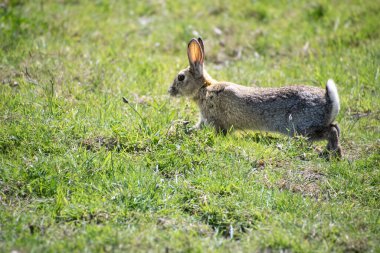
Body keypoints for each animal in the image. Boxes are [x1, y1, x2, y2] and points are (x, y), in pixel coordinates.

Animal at [169, 37, 342, 157]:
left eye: (181, 77)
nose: (170, 91)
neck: (204, 89)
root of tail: (329, 100)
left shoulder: (214, 121)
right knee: (335, 128)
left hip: (302, 127)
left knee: (331, 131)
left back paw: (331, 153)